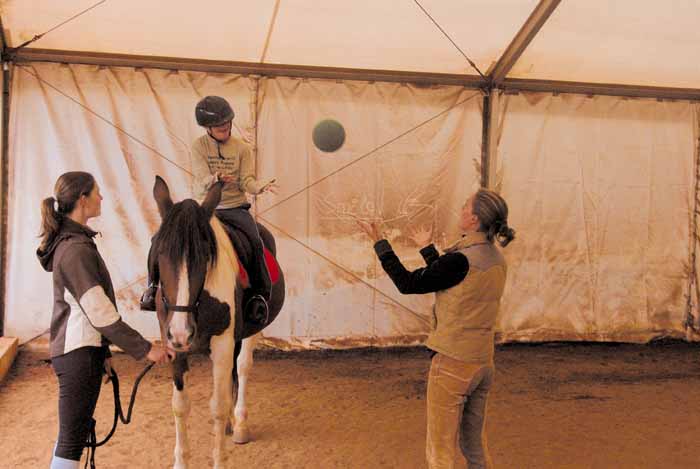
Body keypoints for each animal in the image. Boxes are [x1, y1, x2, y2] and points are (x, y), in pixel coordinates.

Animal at [152, 176, 284, 468]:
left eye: (203, 256)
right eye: (160, 252)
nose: (182, 332)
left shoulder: (223, 342)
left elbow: (219, 405)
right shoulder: (173, 345)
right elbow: (180, 404)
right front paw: (181, 461)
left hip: (251, 331)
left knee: (242, 368)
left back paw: (240, 424)